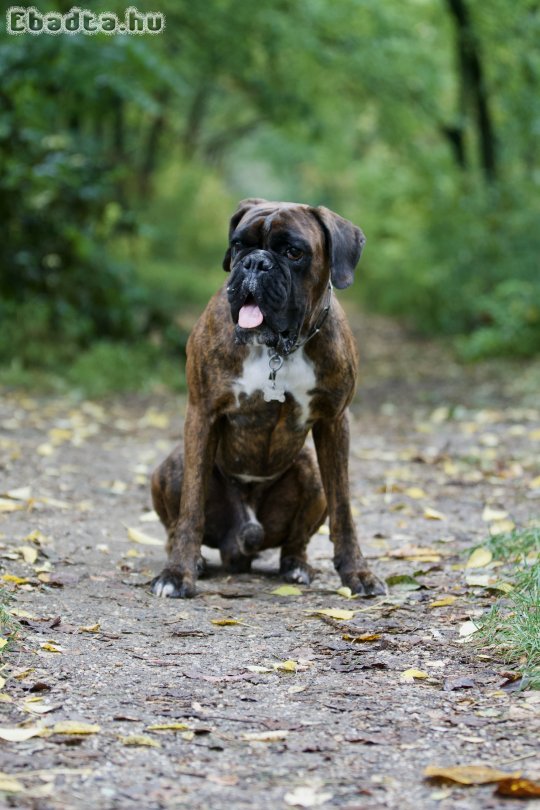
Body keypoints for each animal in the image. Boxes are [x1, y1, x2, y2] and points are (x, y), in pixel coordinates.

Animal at [152, 199, 386, 596]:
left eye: (293, 252)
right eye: (239, 245)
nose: (255, 263)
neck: (278, 350)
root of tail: (239, 543)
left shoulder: (335, 421)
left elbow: (343, 508)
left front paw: (357, 572)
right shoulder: (202, 413)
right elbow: (191, 507)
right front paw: (177, 573)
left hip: (311, 474)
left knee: (297, 540)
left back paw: (297, 566)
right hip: (171, 465)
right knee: (175, 523)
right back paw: (195, 560)